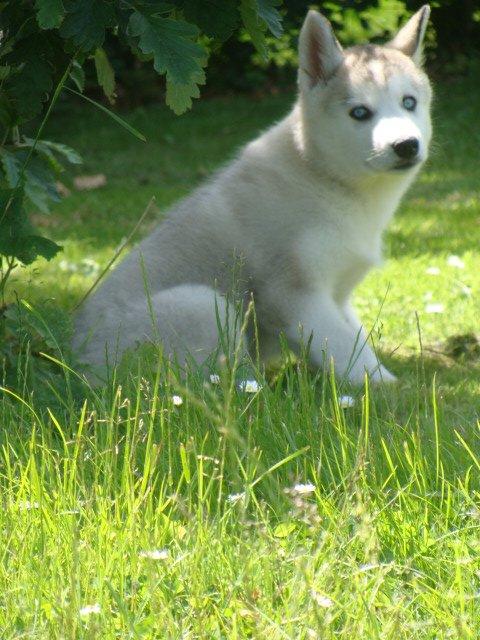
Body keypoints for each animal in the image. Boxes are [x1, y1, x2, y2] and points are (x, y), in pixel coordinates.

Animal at [74, 7, 432, 384]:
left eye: (409, 103)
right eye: (359, 112)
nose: (406, 145)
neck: (323, 175)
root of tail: (78, 368)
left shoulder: (337, 297)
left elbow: (356, 341)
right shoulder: (294, 296)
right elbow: (348, 352)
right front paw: (390, 389)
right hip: (204, 304)